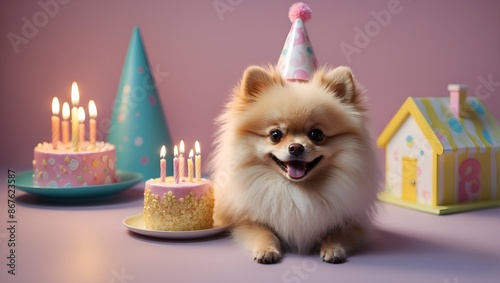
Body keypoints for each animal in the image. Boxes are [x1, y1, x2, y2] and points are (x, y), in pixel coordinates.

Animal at [210, 65, 378, 266]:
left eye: (316, 134)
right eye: (275, 135)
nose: (296, 147)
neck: (295, 190)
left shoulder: (352, 223)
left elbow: (336, 233)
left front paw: (333, 248)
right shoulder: (245, 222)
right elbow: (263, 232)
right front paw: (267, 249)